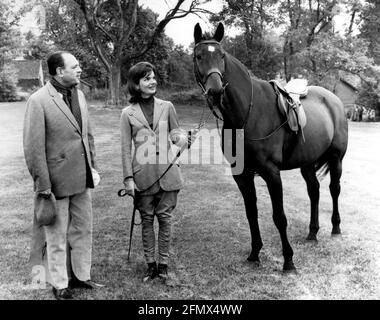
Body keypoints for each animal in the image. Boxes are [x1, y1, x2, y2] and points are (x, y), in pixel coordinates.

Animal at [193, 23, 348, 272]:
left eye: (222, 55)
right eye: (199, 56)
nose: (216, 92)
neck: (248, 113)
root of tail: (334, 100)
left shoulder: (272, 173)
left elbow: (279, 217)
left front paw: (289, 261)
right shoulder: (242, 174)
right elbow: (251, 213)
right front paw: (255, 253)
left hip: (336, 158)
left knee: (334, 189)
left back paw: (335, 227)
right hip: (307, 162)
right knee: (314, 191)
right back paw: (312, 232)